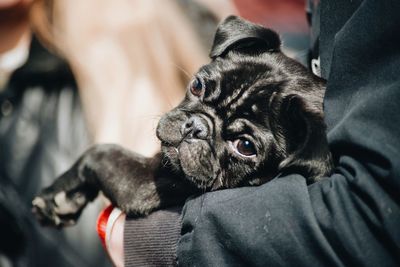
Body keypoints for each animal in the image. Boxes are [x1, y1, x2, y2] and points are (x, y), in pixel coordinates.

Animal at [31, 15, 332, 227]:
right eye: (197, 85)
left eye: (245, 146)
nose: (196, 127)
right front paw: (66, 198)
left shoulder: (142, 182)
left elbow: (99, 152)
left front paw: (56, 192)